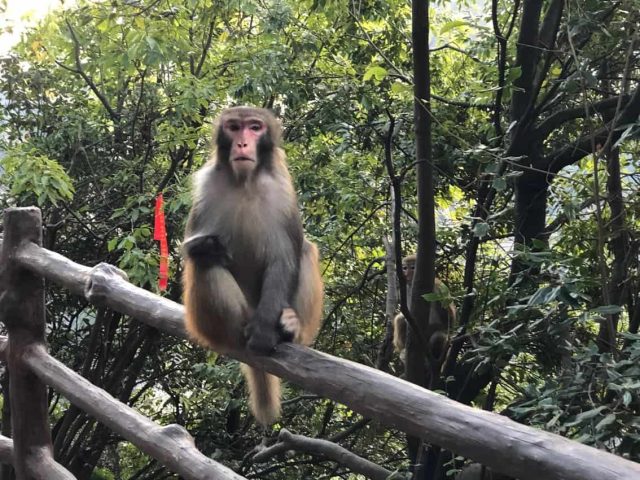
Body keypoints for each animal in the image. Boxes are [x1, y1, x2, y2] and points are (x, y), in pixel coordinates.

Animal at [182, 106, 324, 426]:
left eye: (255, 128)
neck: (244, 181)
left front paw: (265, 332)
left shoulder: (282, 190)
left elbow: (284, 257)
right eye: (234, 127)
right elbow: (192, 247)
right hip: (217, 319)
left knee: (306, 250)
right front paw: (208, 247)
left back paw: (289, 328)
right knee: (204, 263)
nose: (243, 144)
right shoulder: (205, 187)